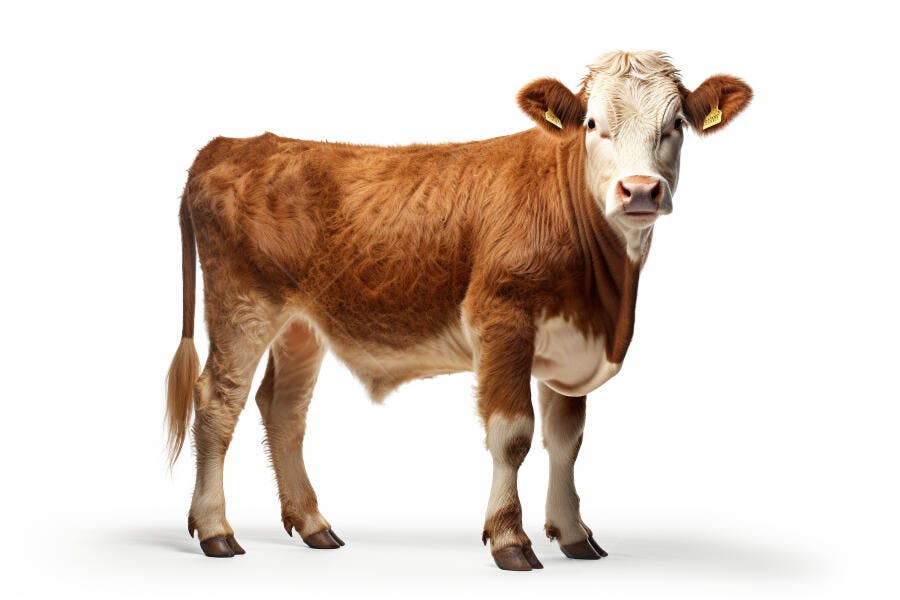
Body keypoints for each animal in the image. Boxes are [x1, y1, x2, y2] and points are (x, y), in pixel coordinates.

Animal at [165, 50, 751, 570]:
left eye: (676, 123)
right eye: (591, 123)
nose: (640, 190)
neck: (607, 300)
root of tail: (231, 145)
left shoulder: (569, 342)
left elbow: (566, 440)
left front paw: (574, 535)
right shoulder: (502, 322)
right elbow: (513, 434)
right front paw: (510, 539)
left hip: (299, 324)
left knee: (283, 407)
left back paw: (314, 525)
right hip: (241, 304)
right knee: (218, 400)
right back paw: (216, 531)